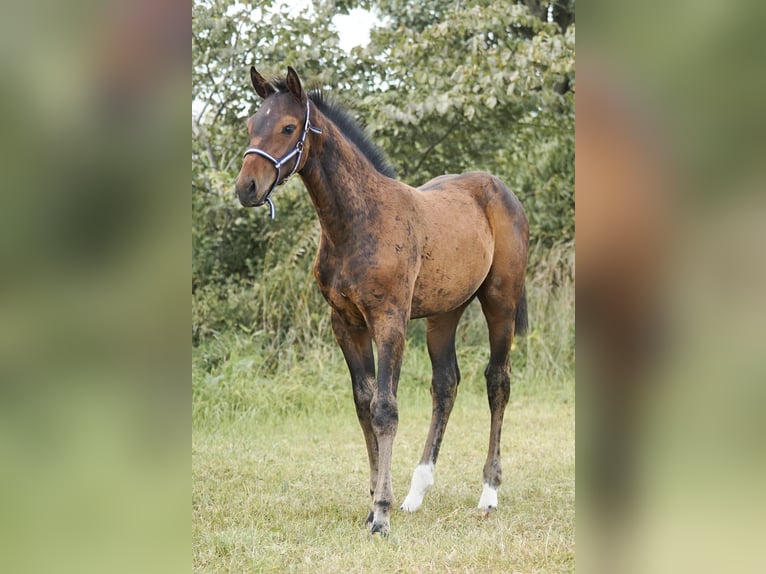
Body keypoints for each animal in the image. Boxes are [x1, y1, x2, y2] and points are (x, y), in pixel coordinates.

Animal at [235, 66, 529, 535]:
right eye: (250, 125)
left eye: (288, 127)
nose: (247, 187)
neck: (357, 222)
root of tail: (501, 190)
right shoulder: (345, 322)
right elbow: (363, 404)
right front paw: (374, 504)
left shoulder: (389, 319)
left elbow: (385, 408)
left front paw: (382, 514)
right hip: (444, 313)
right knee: (445, 384)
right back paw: (417, 492)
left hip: (501, 301)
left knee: (497, 382)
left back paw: (488, 494)